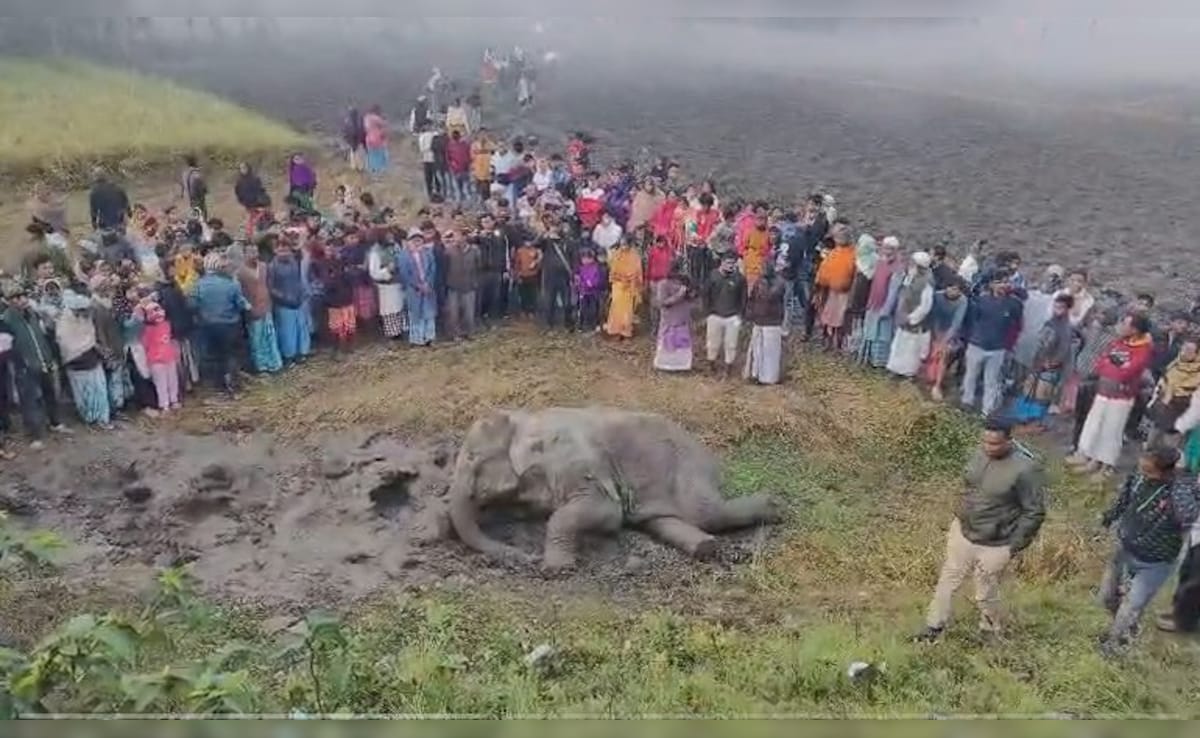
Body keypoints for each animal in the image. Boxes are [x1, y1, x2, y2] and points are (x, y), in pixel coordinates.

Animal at [448, 407, 781, 571]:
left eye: (472, 456)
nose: (524, 557)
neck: (526, 418)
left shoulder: (576, 465)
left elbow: (606, 513)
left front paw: (555, 568)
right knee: (665, 519)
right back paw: (703, 546)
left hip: (687, 469)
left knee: (705, 512)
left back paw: (773, 508)